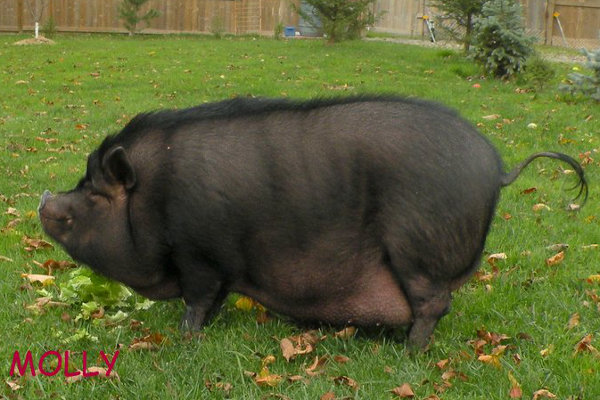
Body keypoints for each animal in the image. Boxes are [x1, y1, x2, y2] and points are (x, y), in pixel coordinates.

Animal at [39, 96, 588, 346]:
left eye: (92, 194)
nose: (45, 199)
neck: (153, 197)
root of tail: (497, 168)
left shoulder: (201, 255)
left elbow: (197, 300)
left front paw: (185, 338)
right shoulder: (218, 268)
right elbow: (212, 301)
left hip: (419, 247)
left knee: (435, 303)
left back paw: (410, 353)